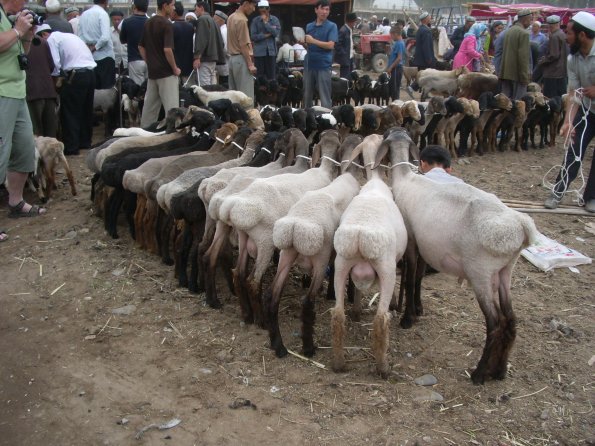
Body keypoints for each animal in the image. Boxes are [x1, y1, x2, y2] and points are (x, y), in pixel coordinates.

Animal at [219, 129, 342, 328]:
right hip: (264, 242)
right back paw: (260, 320)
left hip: (245, 238)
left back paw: (247, 314)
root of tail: (235, 207)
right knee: (253, 282)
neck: (322, 169)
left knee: (238, 274)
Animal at [264, 133, 364, 358]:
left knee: (273, 296)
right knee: (307, 302)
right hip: (320, 256)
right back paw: (308, 347)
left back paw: (278, 346)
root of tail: (294, 227)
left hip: (286, 255)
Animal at [330, 134, 410, 378]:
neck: (374, 181)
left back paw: (339, 363)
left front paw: (356, 311)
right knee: (381, 320)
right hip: (386, 268)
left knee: (338, 315)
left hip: (341, 264)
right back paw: (383, 368)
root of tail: (359, 235)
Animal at [382, 128, 540, 384]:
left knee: (495, 323)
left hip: (480, 272)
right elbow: (418, 279)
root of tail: (522, 226)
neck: (405, 178)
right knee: (511, 319)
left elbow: (410, 278)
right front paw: (417, 309)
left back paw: (479, 374)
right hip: (505, 270)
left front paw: (407, 318)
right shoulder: (426, 245)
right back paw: (500, 371)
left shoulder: (413, 242)